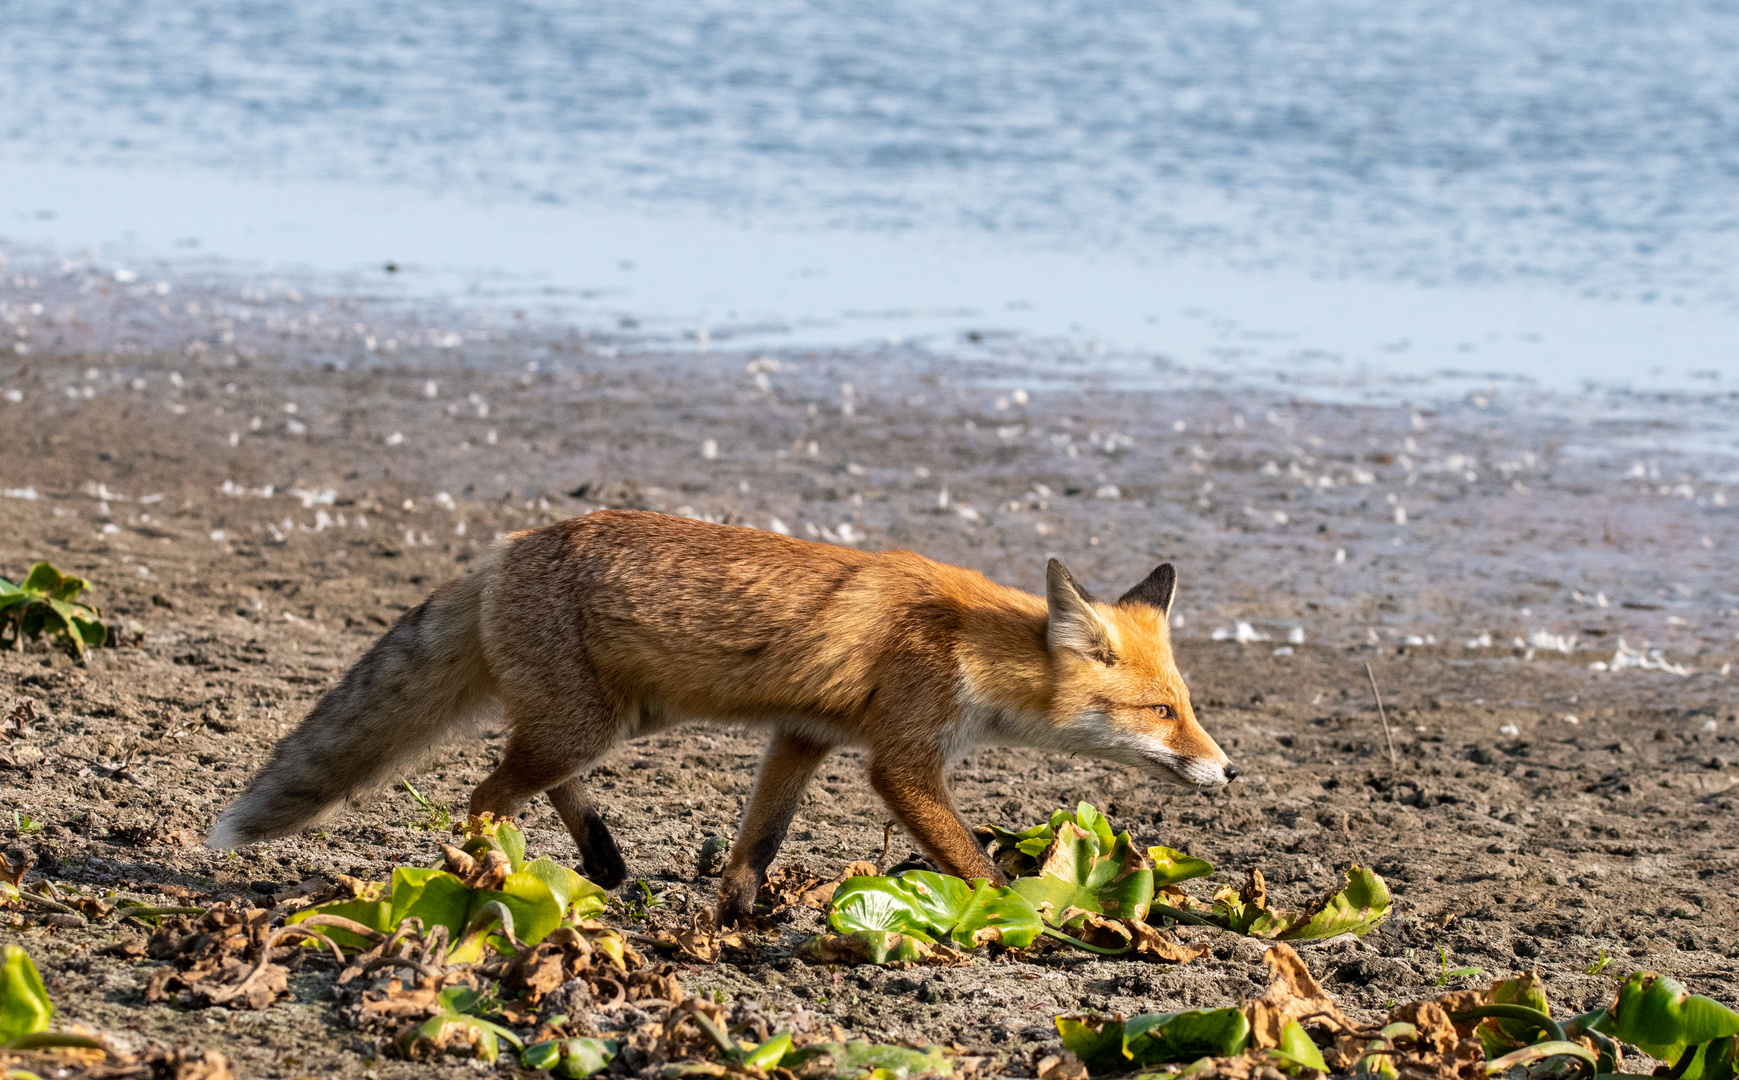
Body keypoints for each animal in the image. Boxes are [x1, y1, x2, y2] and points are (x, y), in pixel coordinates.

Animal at [206, 511, 1238, 925]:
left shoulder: (805, 735)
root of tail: (507, 546)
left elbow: (758, 840)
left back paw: (602, 856)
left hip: (608, 721)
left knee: (534, 778)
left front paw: (735, 916)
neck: (965, 646)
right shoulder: (900, 763)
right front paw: (1033, 919)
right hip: (588, 726)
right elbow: (972, 864)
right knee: (483, 795)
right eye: (1159, 711)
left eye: (1187, 707)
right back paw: (498, 873)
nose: (1227, 771)